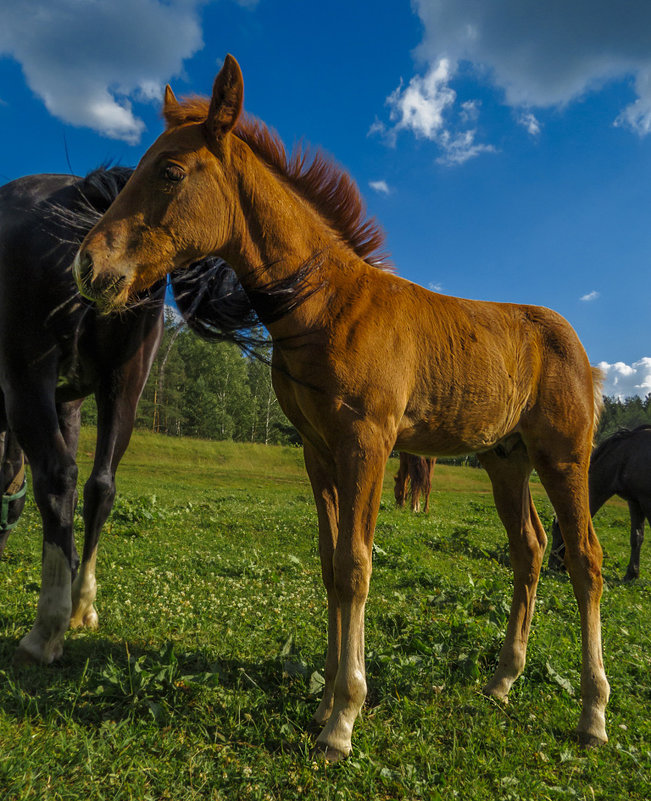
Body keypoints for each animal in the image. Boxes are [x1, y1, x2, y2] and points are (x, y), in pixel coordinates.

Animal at [75, 56, 612, 756]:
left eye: (168, 171)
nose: (89, 266)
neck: (327, 304)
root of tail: (578, 347)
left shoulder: (368, 441)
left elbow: (357, 564)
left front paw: (343, 719)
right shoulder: (319, 450)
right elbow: (331, 564)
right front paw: (327, 696)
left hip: (564, 457)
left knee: (585, 560)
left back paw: (594, 712)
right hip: (505, 461)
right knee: (530, 550)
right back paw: (502, 681)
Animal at [552, 424, 651, 580]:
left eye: (557, 532)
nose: (552, 565)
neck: (626, 456)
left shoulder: (646, 501)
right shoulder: (635, 501)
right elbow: (637, 537)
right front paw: (631, 574)